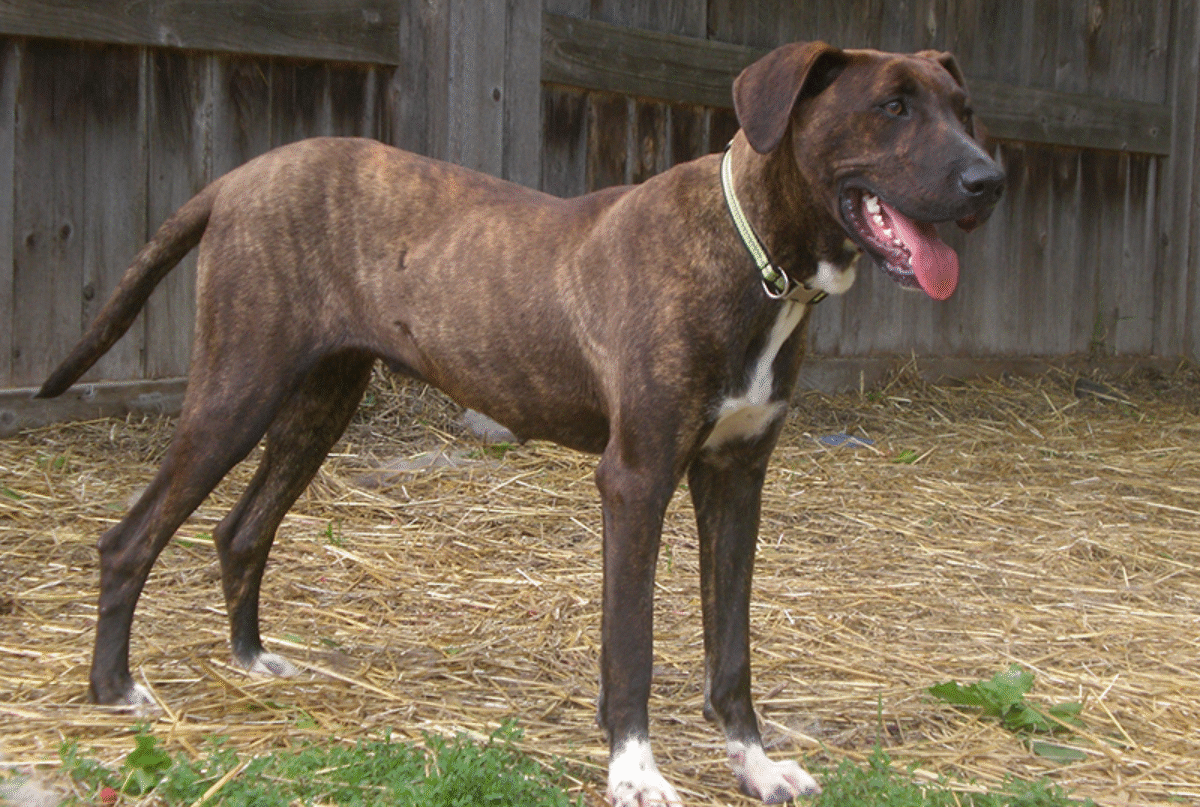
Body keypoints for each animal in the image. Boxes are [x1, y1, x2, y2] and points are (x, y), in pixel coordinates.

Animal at [37, 39, 998, 806]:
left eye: (964, 110)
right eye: (892, 107)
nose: (989, 180)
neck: (756, 255)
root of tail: (238, 176)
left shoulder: (737, 478)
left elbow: (732, 649)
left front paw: (755, 765)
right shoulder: (636, 479)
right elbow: (631, 646)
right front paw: (635, 772)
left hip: (320, 400)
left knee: (241, 530)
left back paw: (252, 660)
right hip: (237, 390)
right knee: (130, 538)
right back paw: (114, 688)